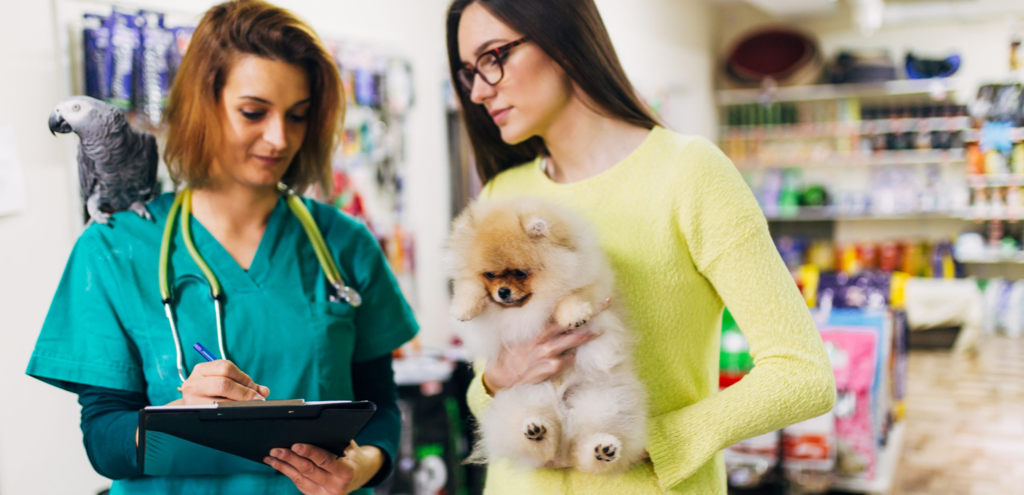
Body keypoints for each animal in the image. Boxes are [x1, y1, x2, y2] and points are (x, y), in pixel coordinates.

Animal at [442, 195, 647, 475]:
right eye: (491, 275)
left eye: (520, 273)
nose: (503, 292)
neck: (532, 302)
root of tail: (562, 450)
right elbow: (467, 286)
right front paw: (463, 307)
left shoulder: (596, 285)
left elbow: (576, 294)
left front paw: (573, 314)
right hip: (521, 398)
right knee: (536, 439)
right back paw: (537, 432)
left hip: (604, 402)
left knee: (587, 444)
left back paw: (603, 449)